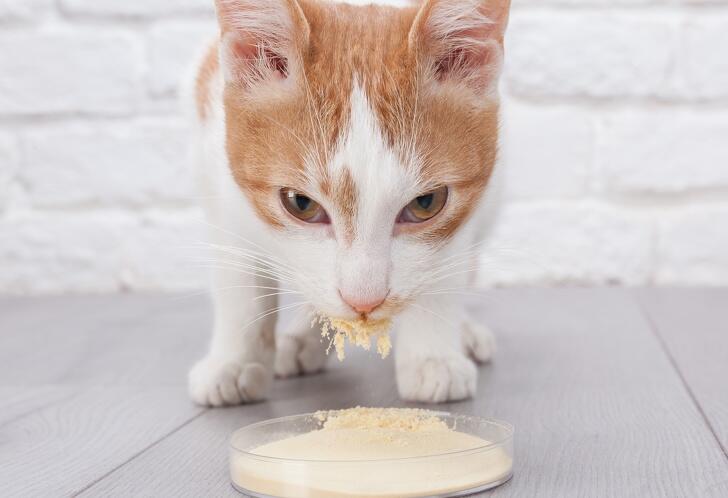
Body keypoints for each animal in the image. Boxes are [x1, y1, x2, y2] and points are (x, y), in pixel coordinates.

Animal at [188, 0, 512, 404]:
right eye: (300, 204)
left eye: (426, 203)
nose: (365, 303)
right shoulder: (220, 184)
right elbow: (240, 279)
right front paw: (234, 362)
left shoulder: (470, 204)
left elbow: (442, 266)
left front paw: (433, 357)